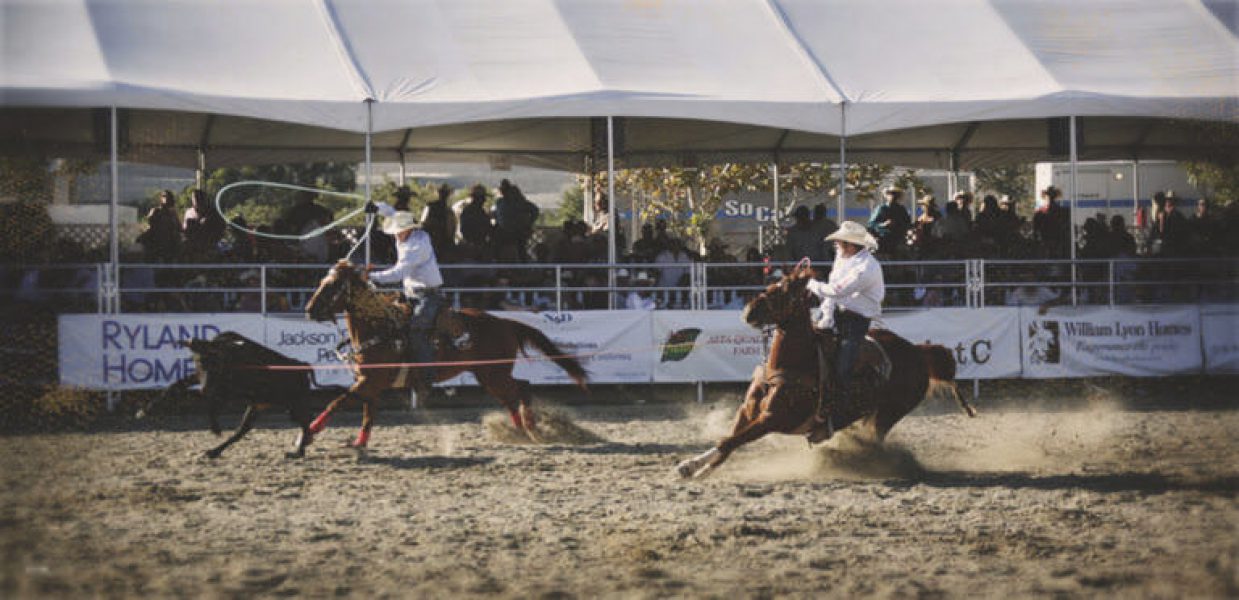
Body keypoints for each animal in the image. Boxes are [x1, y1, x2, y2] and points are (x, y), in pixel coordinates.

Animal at [302, 260, 587, 448]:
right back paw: (517, 432)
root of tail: (505, 323)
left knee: (523, 388)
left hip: (495, 373)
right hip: (488, 375)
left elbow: (337, 402)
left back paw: (531, 428)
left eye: (332, 285)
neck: (379, 327)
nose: (309, 310)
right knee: (511, 397)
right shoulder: (371, 383)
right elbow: (367, 416)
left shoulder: (370, 382)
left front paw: (309, 433)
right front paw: (359, 444)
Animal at [674, 262, 971, 478]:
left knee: (876, 439)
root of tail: (918, 352)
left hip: (888, 414)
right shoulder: (747, 411)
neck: (790, 362)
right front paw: (694, 467)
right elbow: (728, 441)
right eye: (771, 284)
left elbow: (729, 441)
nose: (749, 311)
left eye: (784, 290)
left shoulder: (772, 419)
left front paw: (693, 468)